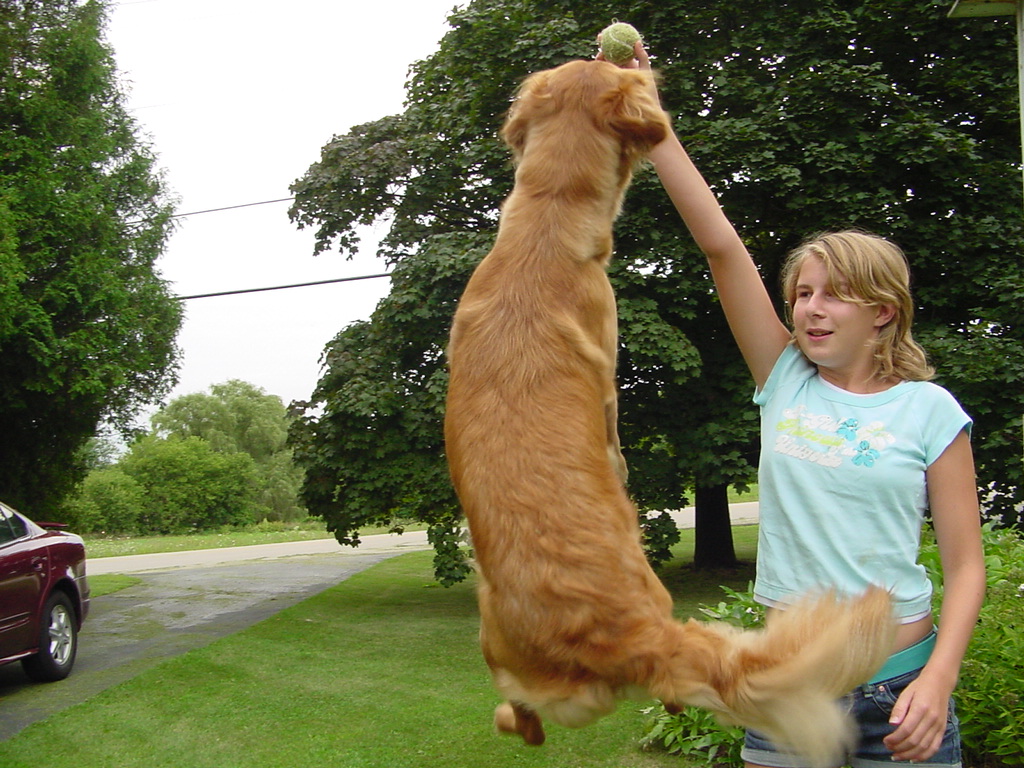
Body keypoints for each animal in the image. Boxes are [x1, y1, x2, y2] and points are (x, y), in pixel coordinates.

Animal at [444, 61, 892, 768]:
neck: (544, 221)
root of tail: (632, 639)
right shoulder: (606, 378)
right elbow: (613, 433)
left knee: (548, 715)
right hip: (495, 628)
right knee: (528, 717)